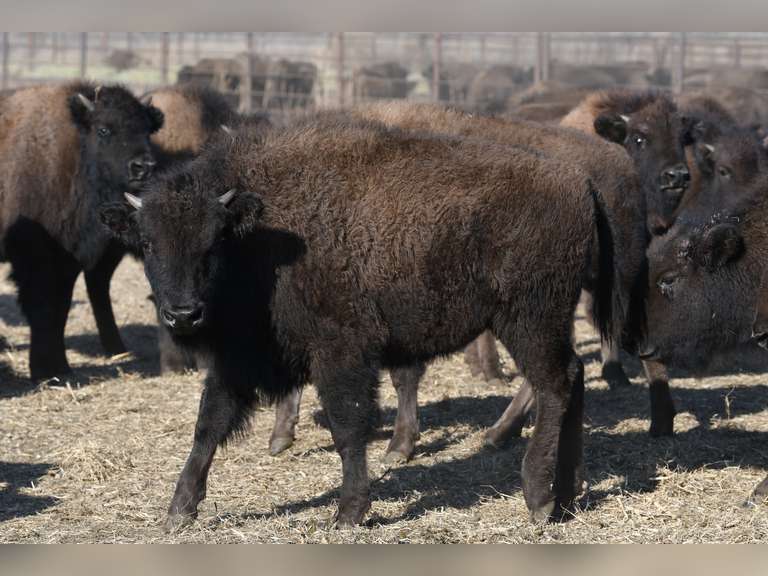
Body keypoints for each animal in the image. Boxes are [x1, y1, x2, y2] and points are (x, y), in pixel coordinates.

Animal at [0, 82, 163, 380]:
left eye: (146, 130)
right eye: (104, 129)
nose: (143, 167)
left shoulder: (68, 261)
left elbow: (60, 310)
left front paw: (60, 366)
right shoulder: (33, 260)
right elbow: (42, 308)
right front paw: (44, 371)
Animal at [100, 113, 621, 528]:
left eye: (213, 242)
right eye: (147, 243)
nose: (183, 313)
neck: (261, 231)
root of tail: (580, 184)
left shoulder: (341, 354)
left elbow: (347, 427)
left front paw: (349, 512)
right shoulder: (239, 361)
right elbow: (209, 424)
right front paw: (179, 509)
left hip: (528, 319)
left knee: (554, 384)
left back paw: (538, 497)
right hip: (545, 322)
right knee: (573, 377)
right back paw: (568, 492)